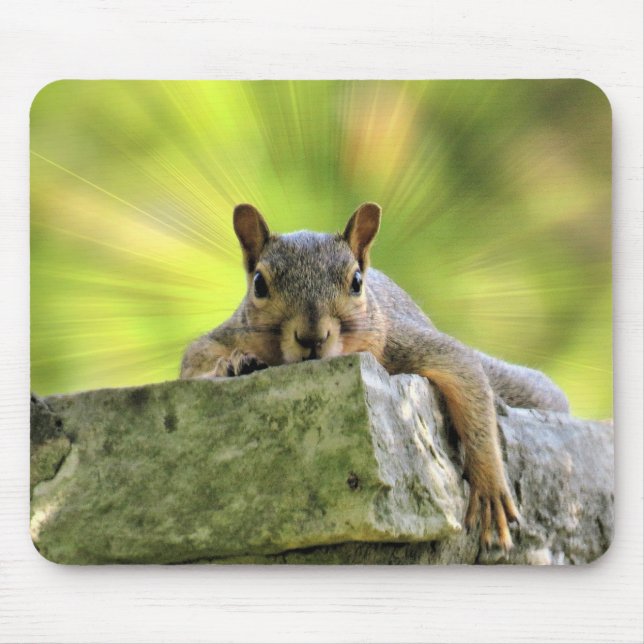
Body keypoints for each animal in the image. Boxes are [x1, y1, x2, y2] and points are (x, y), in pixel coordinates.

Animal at [180, 202, 570, 551]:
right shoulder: (229, 333)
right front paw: (232, 364)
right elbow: (194, 361)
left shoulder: (401, 342)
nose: (311, 338)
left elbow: (465, 375)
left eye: (356, 281)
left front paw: (489, 486)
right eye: (259, 284)